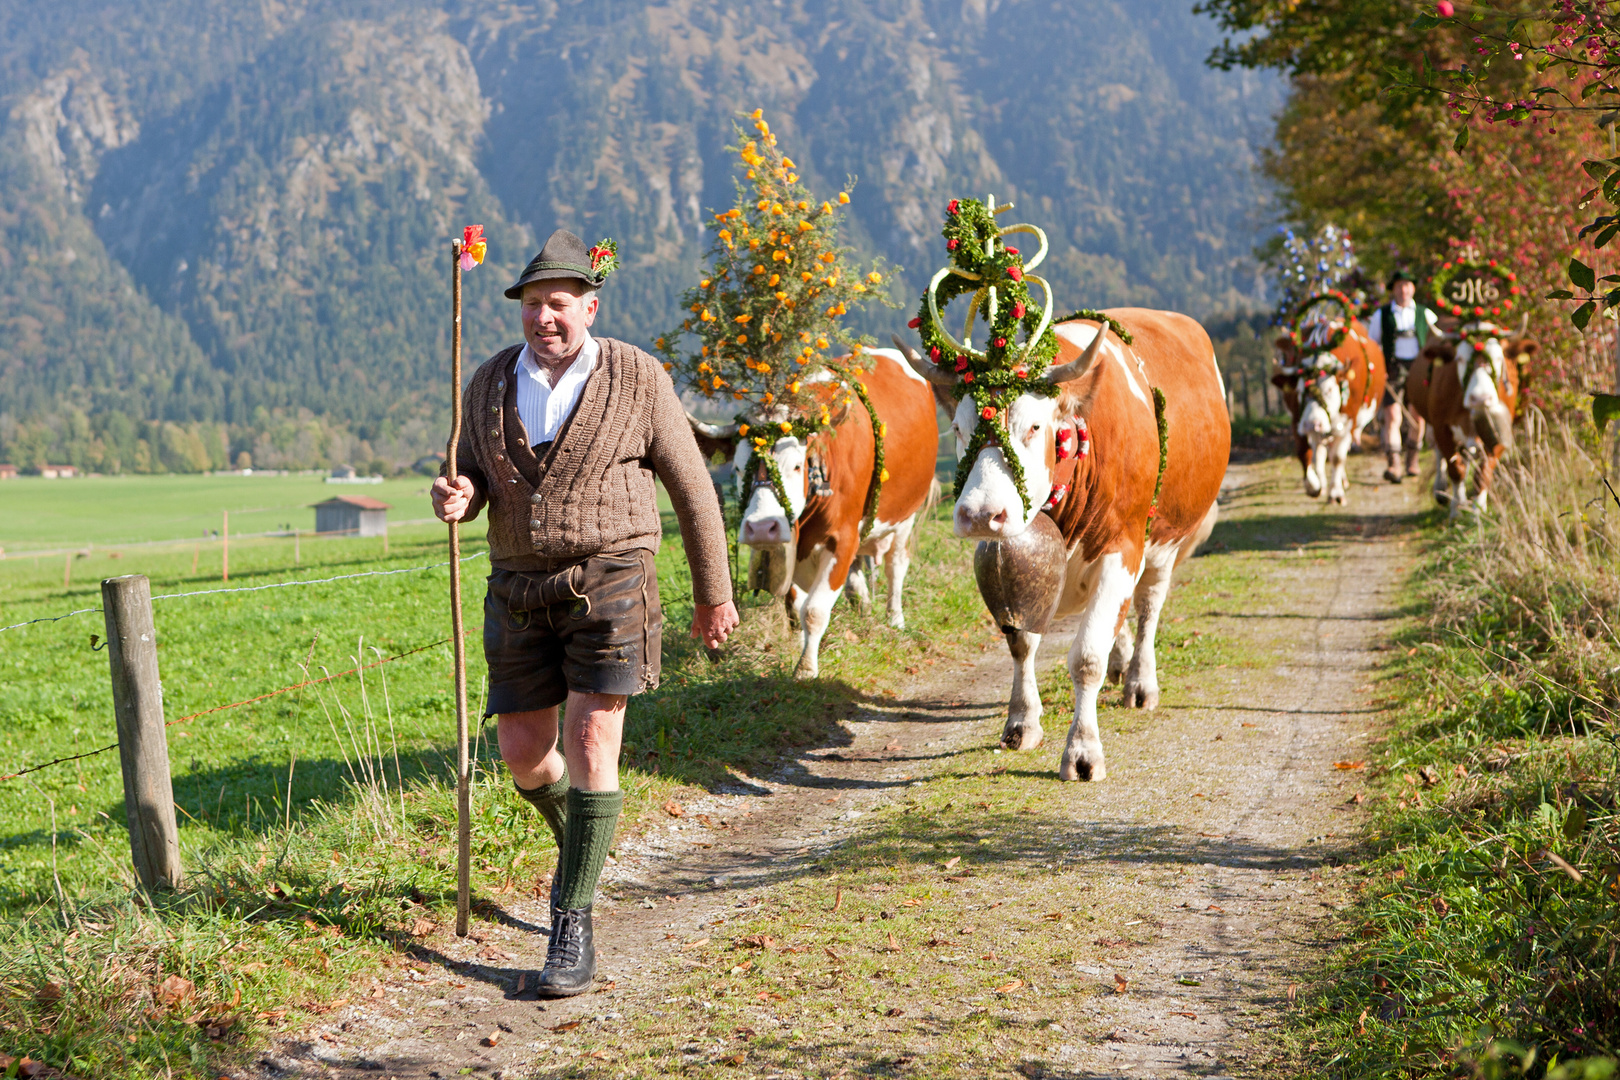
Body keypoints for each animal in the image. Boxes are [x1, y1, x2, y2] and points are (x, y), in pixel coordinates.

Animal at [690, 351, 946, 680]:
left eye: (797, 466)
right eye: (737, 468)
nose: (761, 528)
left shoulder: (842, 539)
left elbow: (813, 610)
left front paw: (806, 669)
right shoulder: (793, 545)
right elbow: (796, 606)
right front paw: (801, 648)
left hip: (906, 516)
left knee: (896, 567)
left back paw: (895, 619)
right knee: (859, 578)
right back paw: (864, 606)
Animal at [900, 194, 1224, 780]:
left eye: (1034, 426)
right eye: (957, 428)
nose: (980, 515)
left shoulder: (1123, 545)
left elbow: (1086, 656)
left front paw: (1082, 751)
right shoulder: (1017, 563)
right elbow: (1022, 641)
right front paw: (1022, 723)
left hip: (1165, 539)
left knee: (1148, 607)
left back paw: (1139, 682)